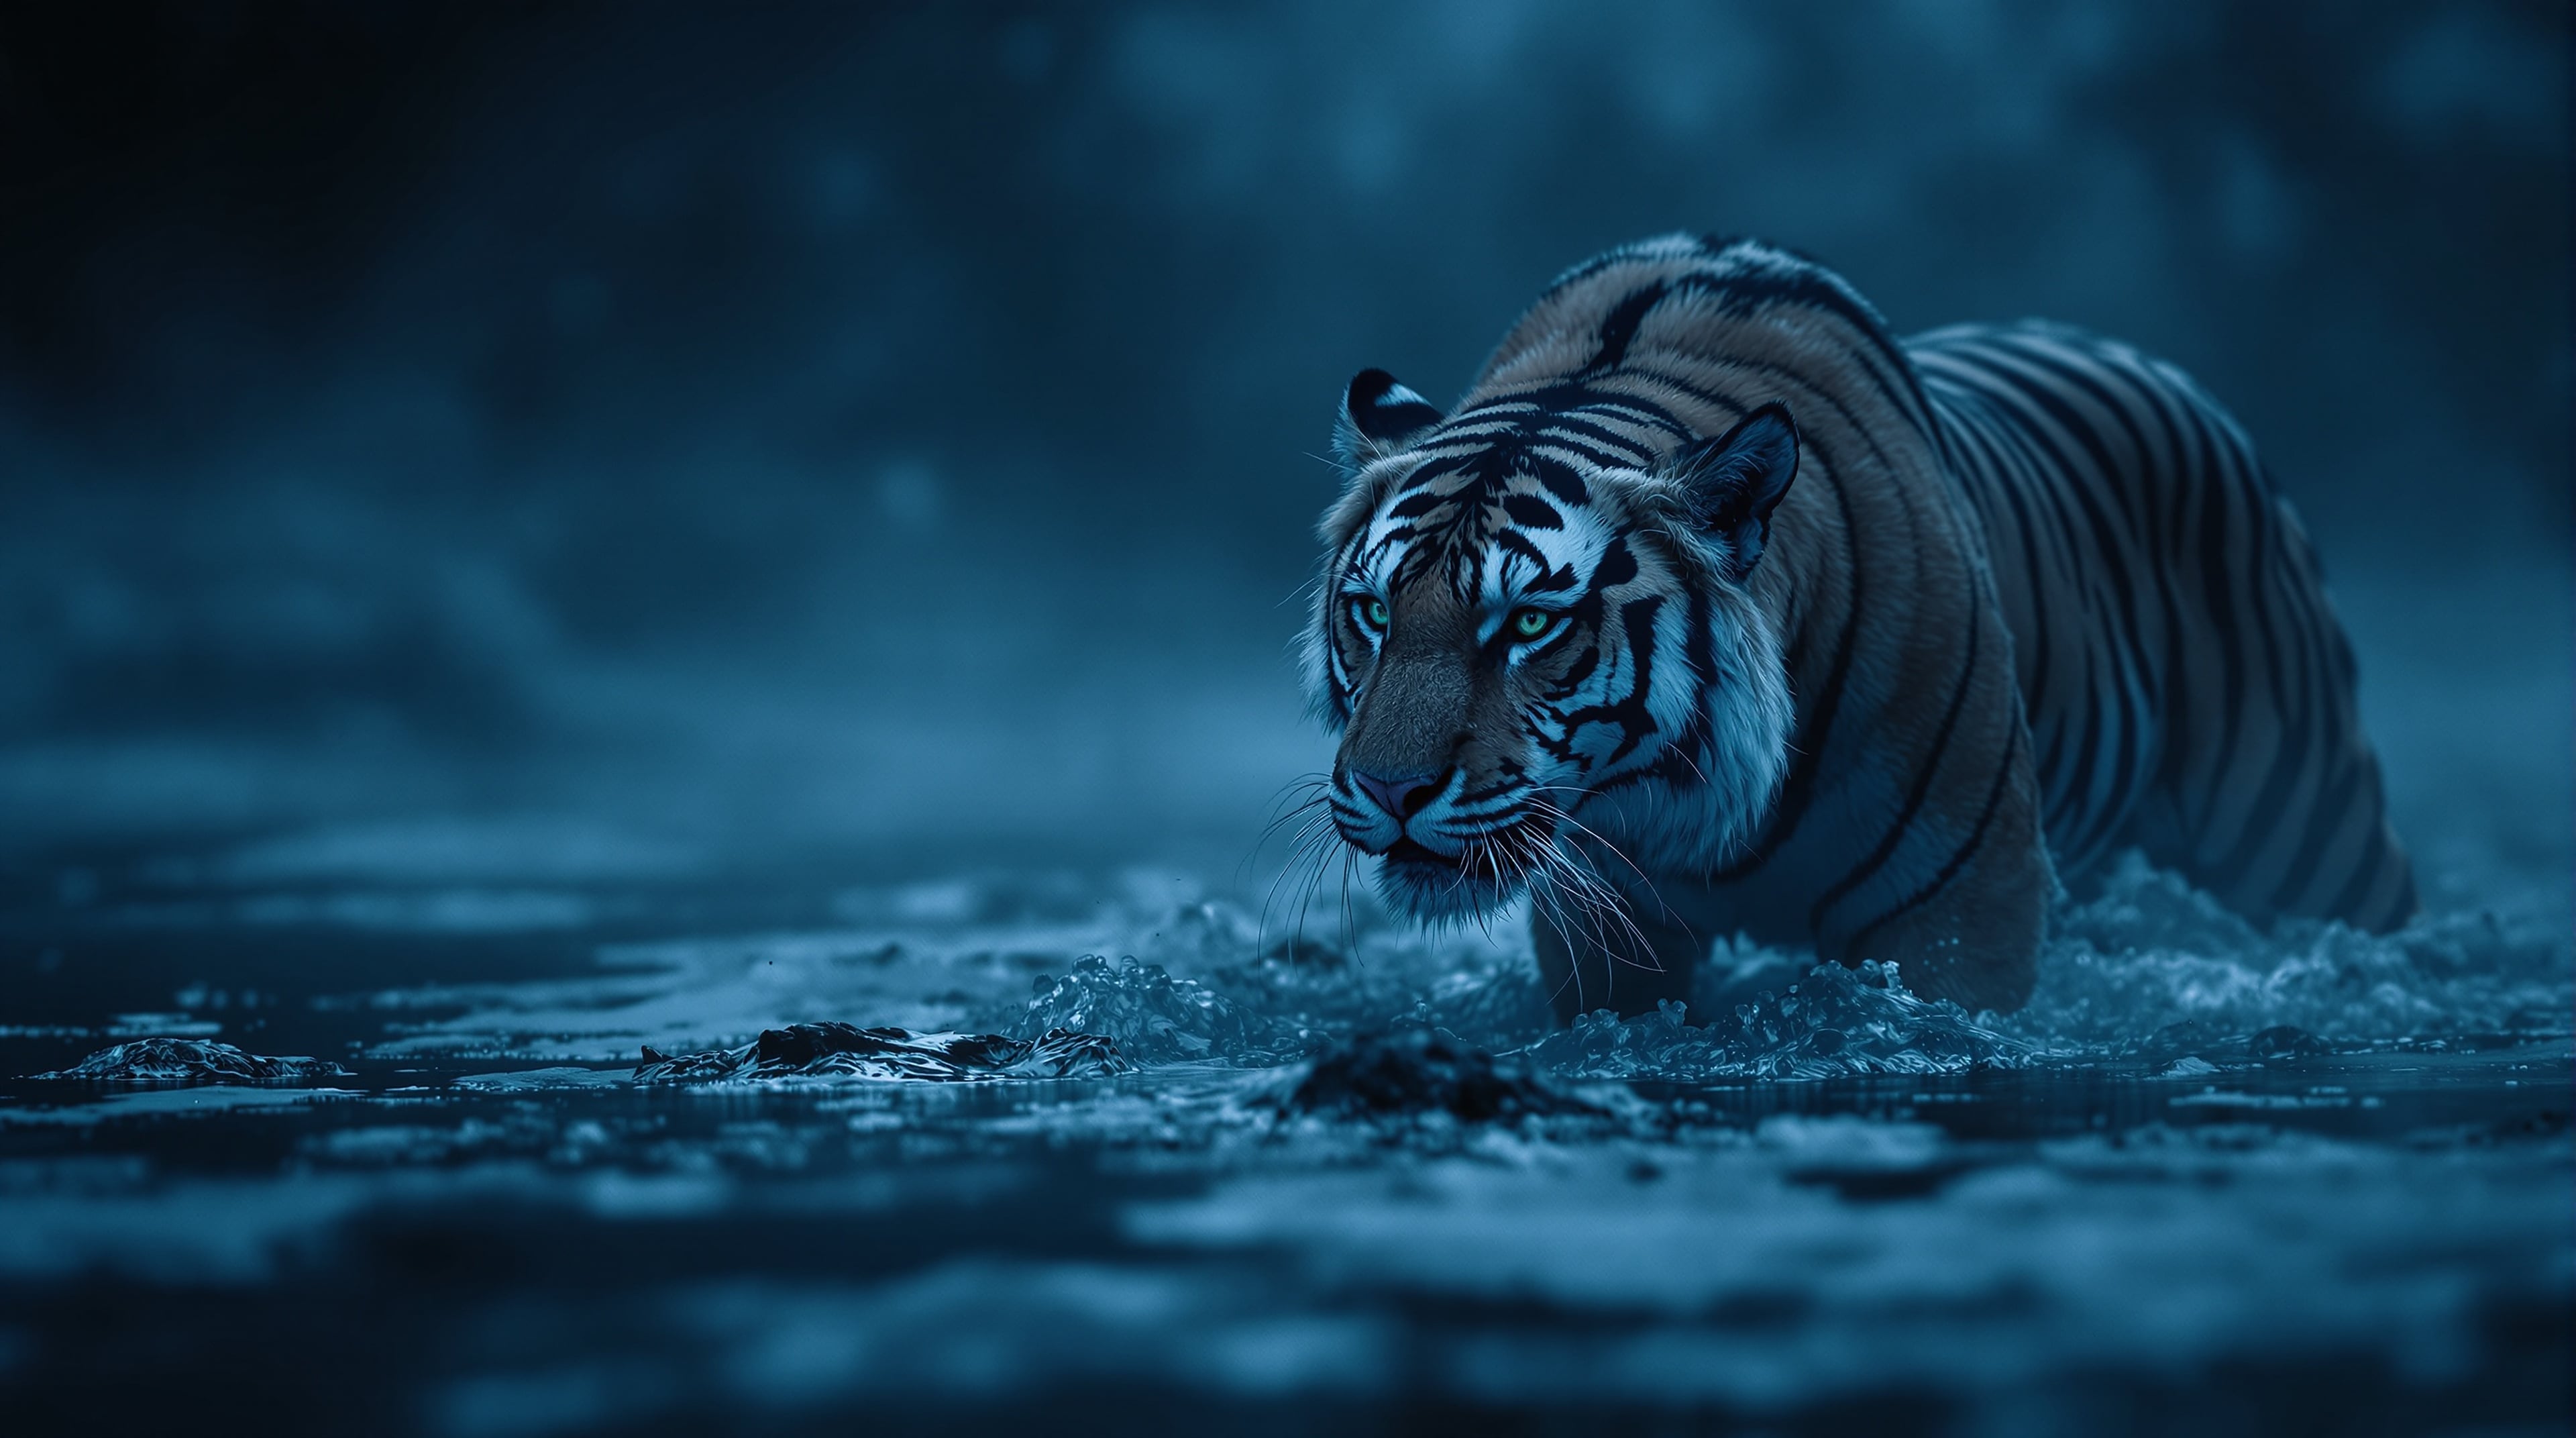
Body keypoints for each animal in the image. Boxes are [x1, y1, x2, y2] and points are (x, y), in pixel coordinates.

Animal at [1304, 233, 2414, 1019]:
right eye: (1374, 612)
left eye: (1531, 621)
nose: (1390, 791)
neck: (1691, 806)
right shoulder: (1605, 928)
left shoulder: (1962, 912)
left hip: (2309, 842)